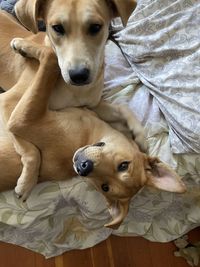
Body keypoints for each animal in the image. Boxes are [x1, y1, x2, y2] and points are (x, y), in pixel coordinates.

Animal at [0, 39, 186, 228]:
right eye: (124, 165)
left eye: (105, 187)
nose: (83, 167)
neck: (88, 136)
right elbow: (123, 109)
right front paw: (138, 134)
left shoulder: (22, 118)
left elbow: (50, 58)